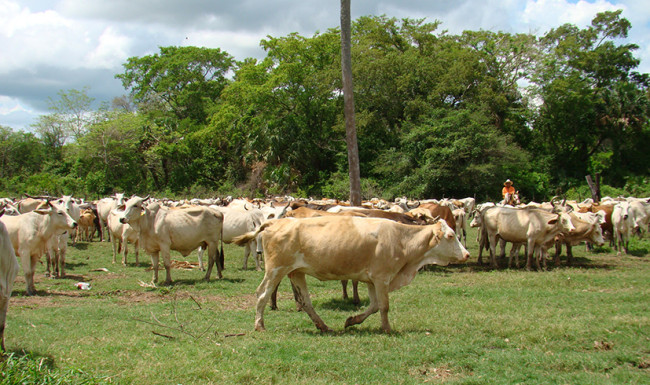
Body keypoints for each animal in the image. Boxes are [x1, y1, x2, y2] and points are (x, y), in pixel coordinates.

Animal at [232, 216, 466, 332]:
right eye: (450, 235)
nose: (466, 254)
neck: (400, 239)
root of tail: (277, 221)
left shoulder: (372, 280)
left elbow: (373, 306)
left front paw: (352, 321)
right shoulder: (382, 278)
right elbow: (384, 306)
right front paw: (387, 329)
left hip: (296, 272)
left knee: (305, 301)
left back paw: (323, 326)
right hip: (276, 270)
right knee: (262, 295)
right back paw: (259, 325)